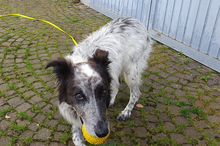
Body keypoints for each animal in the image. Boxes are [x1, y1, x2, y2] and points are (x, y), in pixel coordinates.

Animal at [45, 17, 152, 146]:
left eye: (103, 92)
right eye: (79, 95)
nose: (103, 132)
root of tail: (137, 21)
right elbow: (76, 137)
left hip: (131, 72)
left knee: (136, 93)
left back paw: (126, 112)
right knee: (117, 84)